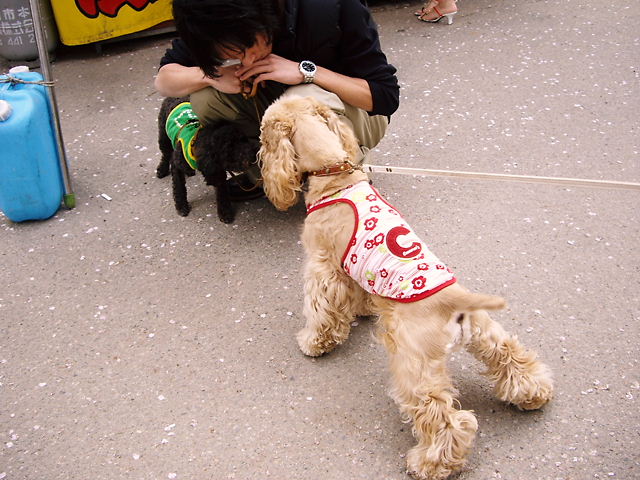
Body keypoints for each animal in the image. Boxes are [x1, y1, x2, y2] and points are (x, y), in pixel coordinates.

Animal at [258, 96, 553, 480]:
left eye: (262, 132)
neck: (335, 176)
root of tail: (455, 303)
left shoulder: (323, 267)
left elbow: (322, 311)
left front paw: (314, 342)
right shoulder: (352, 269)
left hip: (414, 366)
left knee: (446, 420)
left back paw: (428, 463)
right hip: (486, 335)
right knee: (512, 358)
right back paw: (533, 393)